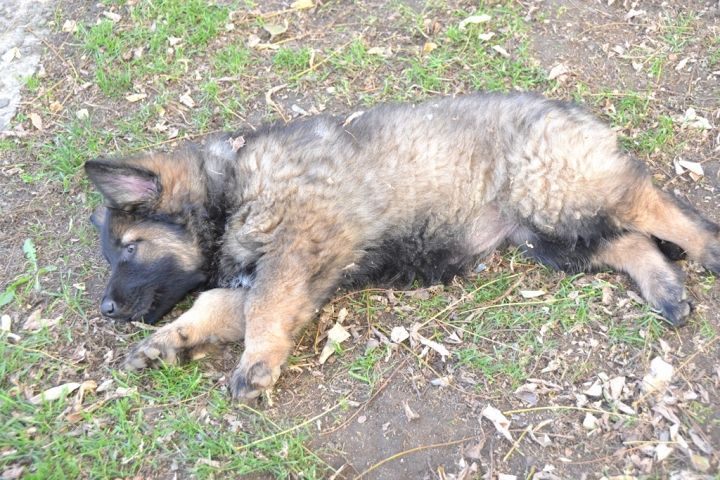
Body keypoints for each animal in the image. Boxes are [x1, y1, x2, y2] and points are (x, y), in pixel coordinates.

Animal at [86, 92, 720, 401]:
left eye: (130, 248)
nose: (107, 309)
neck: (233, 187)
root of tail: (573, 111)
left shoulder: (294, 255)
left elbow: (262, 310)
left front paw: (255, 365)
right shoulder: (294, 276)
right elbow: (212, 306)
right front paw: (166, 344)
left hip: (558, 189)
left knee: (652, 204)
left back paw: (709, 249)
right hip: (549, 234)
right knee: (630, 241)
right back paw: (666, 290)